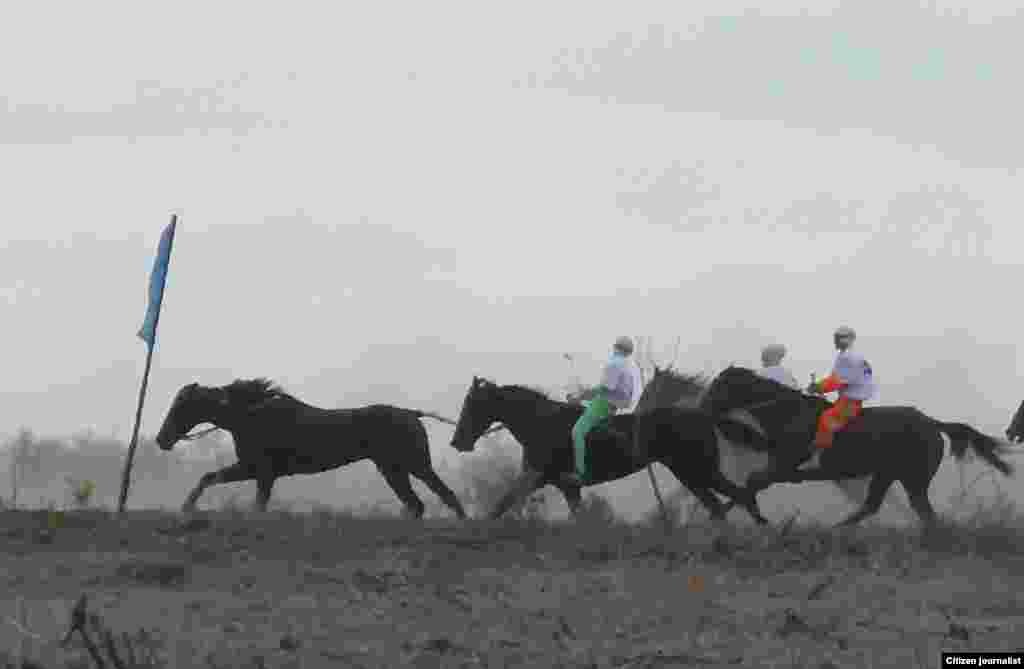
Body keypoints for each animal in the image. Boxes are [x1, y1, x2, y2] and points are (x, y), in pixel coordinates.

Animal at [154, 374, 464, 516]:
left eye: (181, 406)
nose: (161, 439)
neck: (250, 415)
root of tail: (411, 413)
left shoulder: (260, 471)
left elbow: (255, 503)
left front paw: (188, 507)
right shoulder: (254, 469)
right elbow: (209, 477)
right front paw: (187, 507)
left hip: (415, 464)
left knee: (446, 495)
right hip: (392, 468)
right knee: (416, 504)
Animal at [448, 374, 770, 522]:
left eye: (472, 404)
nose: (456, 441)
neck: (542, 423)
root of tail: (702, 415)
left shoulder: (538, 477)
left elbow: (502, 504)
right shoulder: (565, 486)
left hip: (696, 470)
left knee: (738, 496)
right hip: (691, 474)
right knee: (720, 504)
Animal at [696, 364, 1015, 528]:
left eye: (717, 387)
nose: (700, 410)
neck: (786, 413)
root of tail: (933, 423)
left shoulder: (783, 468)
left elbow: (750, 484)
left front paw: (722, 514)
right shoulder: (779, 469)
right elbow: (748, 485)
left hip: (913, 478)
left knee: (921, 511)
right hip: (888, 474)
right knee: (876, 506)